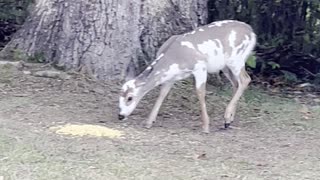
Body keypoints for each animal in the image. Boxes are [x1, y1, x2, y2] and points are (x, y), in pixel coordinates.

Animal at [119, 19, 256, 133]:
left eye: (130, 98)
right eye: (119, 96)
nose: (120, 115)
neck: (173, 58)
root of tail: (252, 32)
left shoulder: (200, 66)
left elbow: (200, 92)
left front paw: (205, 127)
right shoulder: (171, 77)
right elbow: (163, 93)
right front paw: (149, 122)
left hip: (236, 58)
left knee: (245, 79)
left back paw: (227, 117)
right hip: (225, 65)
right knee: (236, 83)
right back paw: (228, 121)